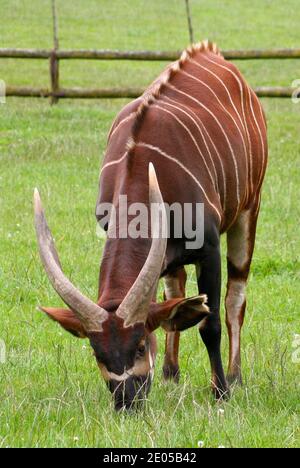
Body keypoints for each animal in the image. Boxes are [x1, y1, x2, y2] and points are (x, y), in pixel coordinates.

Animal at [34, 42, 268, 412]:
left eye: (140, 345)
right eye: (97, 353)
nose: (127, 401)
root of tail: (212, 53)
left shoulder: (209, 249)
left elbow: (210, 322)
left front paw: (221, 392)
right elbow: (169, 304)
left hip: (249, 209)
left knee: (236, 299)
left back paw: (234, 376)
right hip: (174, 258)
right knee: (175, 290)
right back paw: (172, 373)